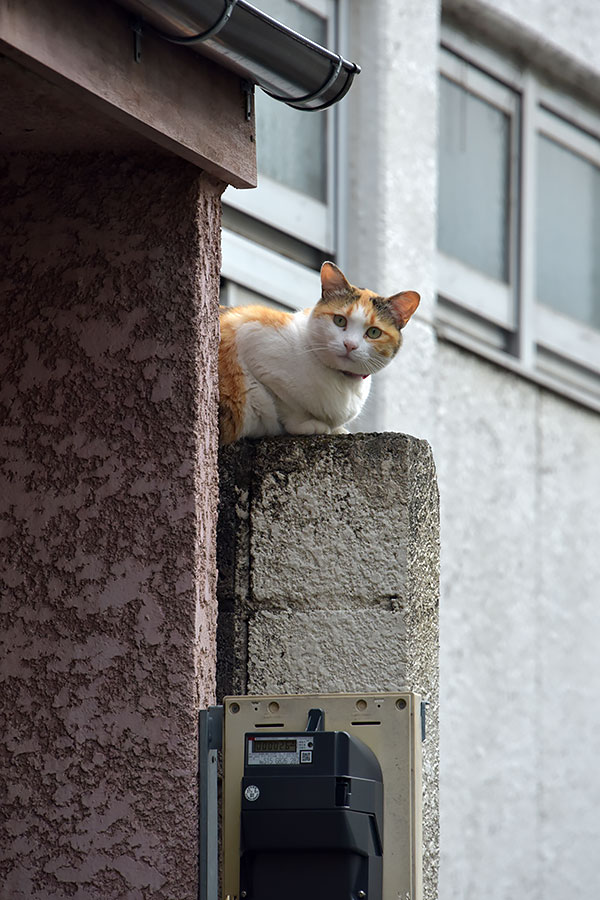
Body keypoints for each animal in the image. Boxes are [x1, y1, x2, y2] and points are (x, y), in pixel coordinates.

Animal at [218, 258, 420, 444]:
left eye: (374, 332)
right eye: (339, 320)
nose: (350, 345)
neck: (343, 381)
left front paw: (338, 430)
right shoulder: (251, 338)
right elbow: (285, 402)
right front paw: (308, 424)